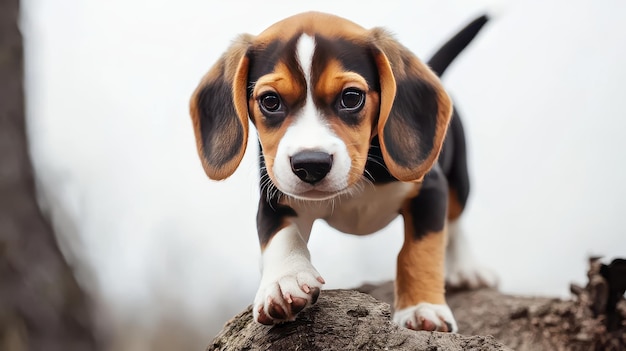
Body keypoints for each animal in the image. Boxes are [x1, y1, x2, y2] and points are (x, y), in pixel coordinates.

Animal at [188, 11, 490, 332]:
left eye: (351, 97)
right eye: (270, 101)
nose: (311, 164)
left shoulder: (430, 190)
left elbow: (420, 251)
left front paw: (422, 308)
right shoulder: (276, 194)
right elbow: (279, 235)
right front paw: (283, 281)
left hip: (460, 179)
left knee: (455, 221)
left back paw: (467, 268)